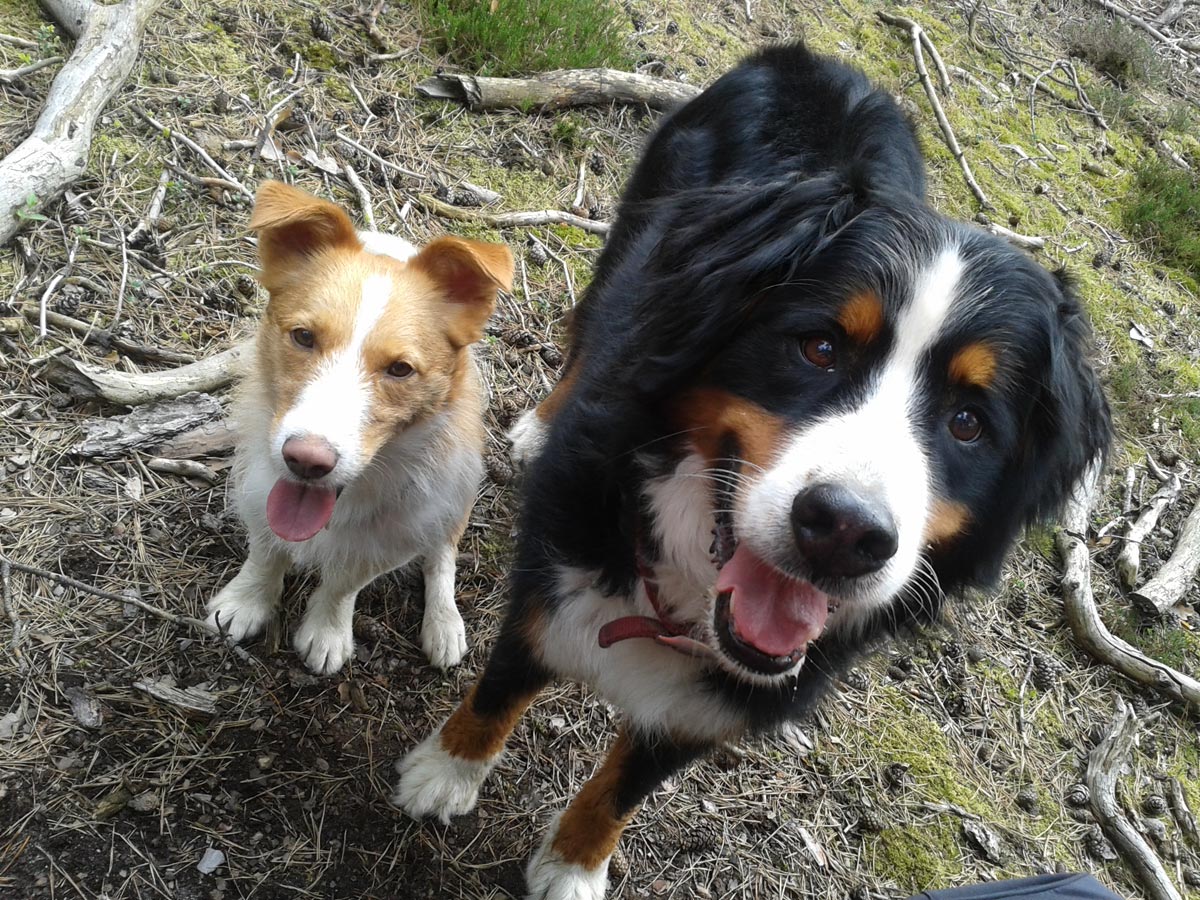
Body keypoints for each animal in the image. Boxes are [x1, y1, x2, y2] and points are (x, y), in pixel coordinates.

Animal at [208, 183, 513, 676]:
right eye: (303, 336)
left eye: (400, 369)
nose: (306, 460)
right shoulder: (258, 483)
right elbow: (266, 551)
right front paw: (246, 601)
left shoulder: (393, 533)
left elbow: (344, 583)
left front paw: (327, 630)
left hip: (456, 493)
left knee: (442, 558)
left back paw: (444, 623)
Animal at [391, 40, 1104, 897]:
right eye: (819, 347)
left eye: (968, 423)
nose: (845, 532)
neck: (688, 593)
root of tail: (814, 60)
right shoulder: (554, 574)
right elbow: (501, 689)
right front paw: (445, 774)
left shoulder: (725, 701)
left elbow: (626, 786)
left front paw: (574, 866)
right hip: (639, 229)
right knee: (594, 323)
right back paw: (539, 423)